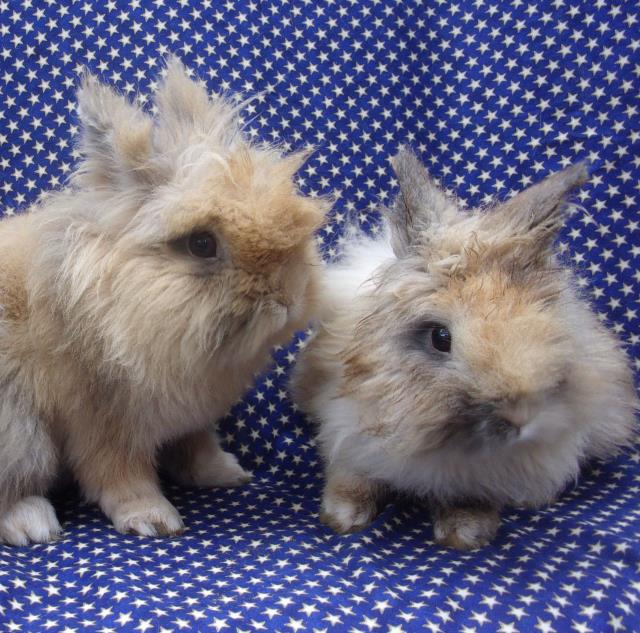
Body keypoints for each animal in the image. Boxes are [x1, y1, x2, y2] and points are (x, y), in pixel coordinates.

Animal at [0, 56, 330, 544]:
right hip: (19, 432)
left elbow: (196, 444)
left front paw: (225, 473)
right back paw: (32, 524)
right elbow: (119, 474)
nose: (288, 297)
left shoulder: (191, 416)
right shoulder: (102, 422)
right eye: (200, 243)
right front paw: (154, 518)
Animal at [292, 147, 636, 548]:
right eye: (440, 338)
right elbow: (352, 478)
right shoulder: (346, 433)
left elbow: (470, 498)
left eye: (548, 331)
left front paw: (465, 534)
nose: (520, 418)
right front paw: (343, 517)